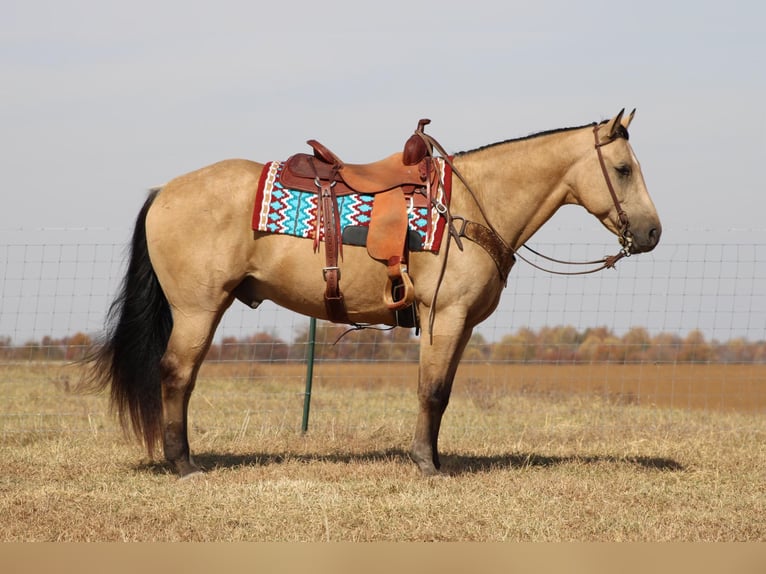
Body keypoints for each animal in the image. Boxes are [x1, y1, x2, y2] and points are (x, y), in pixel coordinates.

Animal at [87, 110, 664, 480]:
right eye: (622, 169)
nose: (653, 232)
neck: (470, 206)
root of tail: (165, 191)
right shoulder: (444, 316)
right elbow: (432, 391)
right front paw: (426, 465)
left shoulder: (460, 325)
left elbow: (442, 393)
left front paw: (432, 457)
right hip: (198, 310)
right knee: (176, 375)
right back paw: (184, 464)